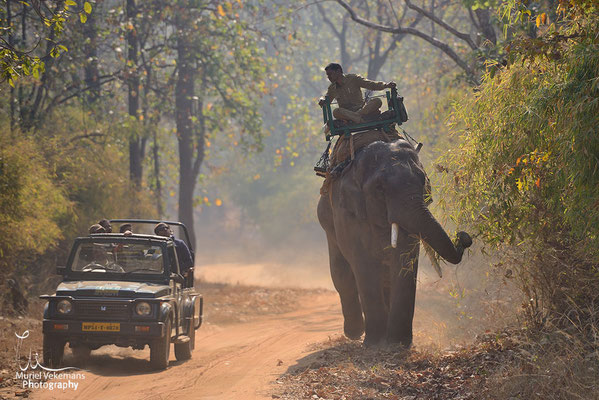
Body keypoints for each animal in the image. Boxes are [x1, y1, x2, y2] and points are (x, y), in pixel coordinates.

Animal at [318, 138, 474, 346]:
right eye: (379, 188)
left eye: (424, 182)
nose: (464, 237)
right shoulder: (347, 213)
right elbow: (363, 262)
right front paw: (375, 344)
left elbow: (404, 257)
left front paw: (397, 344)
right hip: (327, 221)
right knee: (341, 272)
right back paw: (354, 333)